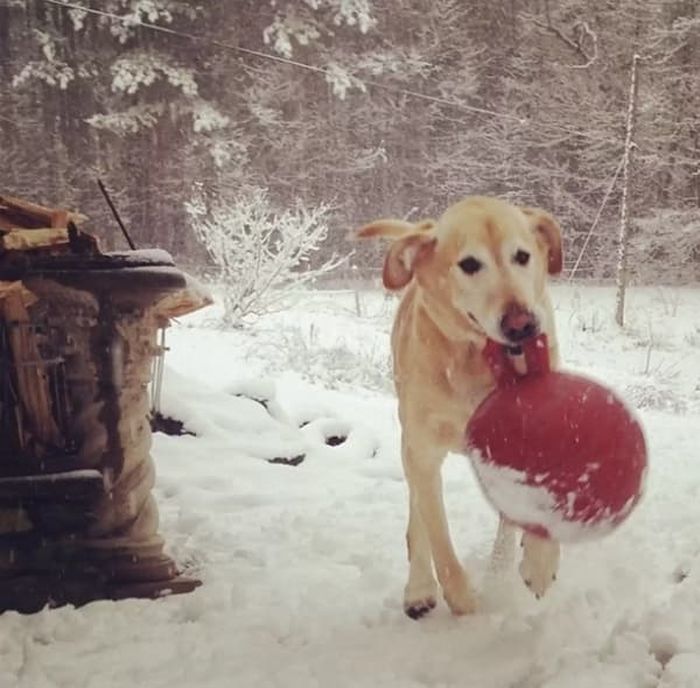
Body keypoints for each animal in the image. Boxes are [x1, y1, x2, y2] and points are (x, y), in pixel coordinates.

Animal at [358, 195, 568, 620]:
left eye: (522, 256)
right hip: (411, 437)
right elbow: (437, 533)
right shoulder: (422, 451)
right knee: (418, 515)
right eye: (469, 264)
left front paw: (539, 563)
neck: (478, 361)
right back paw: (420, 587)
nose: (522, 324)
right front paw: (460, 597)